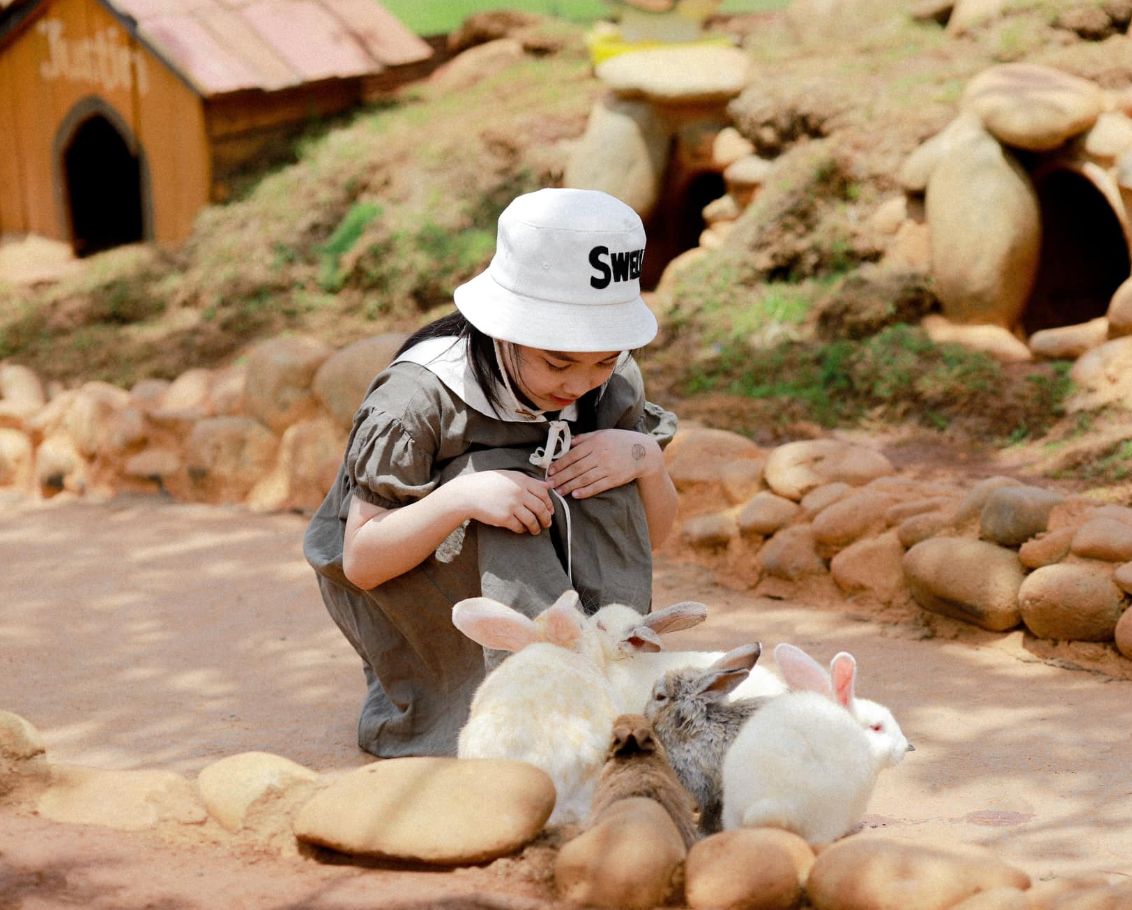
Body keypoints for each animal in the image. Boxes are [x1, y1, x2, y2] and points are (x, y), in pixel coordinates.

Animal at [647, 642, 769, 837]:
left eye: (660, 697)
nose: (644, 712)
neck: (695, 727)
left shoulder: (708, 788)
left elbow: (710, 817)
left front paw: (701, 834)